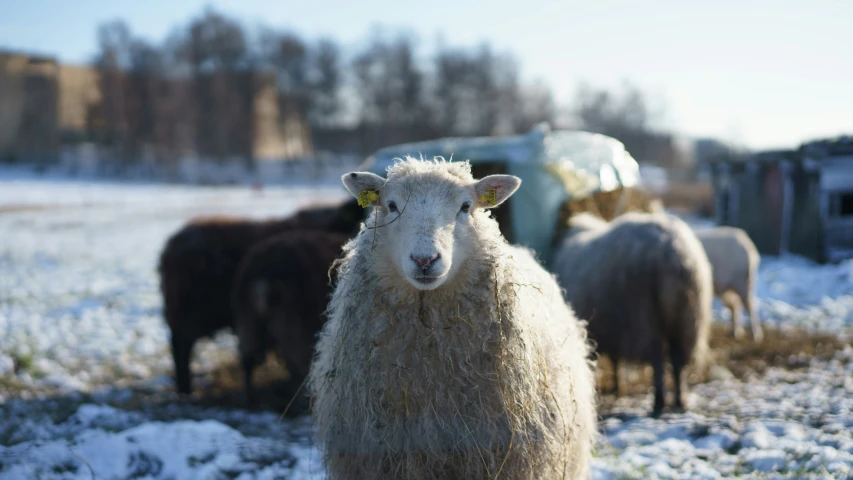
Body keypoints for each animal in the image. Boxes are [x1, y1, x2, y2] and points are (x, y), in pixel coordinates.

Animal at [552, 211, 712, 416]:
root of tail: (675, 254)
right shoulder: (614, 329)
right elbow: (616, 359)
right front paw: (618, 386)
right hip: (687, 320)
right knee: (677, 360)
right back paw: (680, 400)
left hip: (644, 316)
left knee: (657, 357)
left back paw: (659, 401)